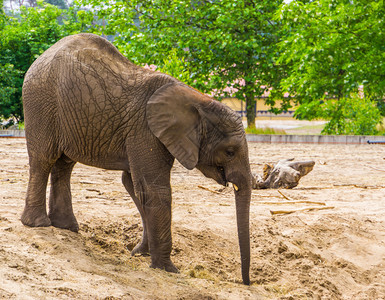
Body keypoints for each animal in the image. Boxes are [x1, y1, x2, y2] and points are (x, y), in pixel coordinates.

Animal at [20, 34, 252, 284]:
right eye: (230, 152)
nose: (245, 282)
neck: (198, 101)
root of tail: (40, 58)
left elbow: (134, 184)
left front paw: (140, 253)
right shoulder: (145, 130)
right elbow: (154, 189)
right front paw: (168, 269)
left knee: (64, 164)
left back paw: (66, 228)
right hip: (41, 104)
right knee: (44, 159)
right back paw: (38, 224)